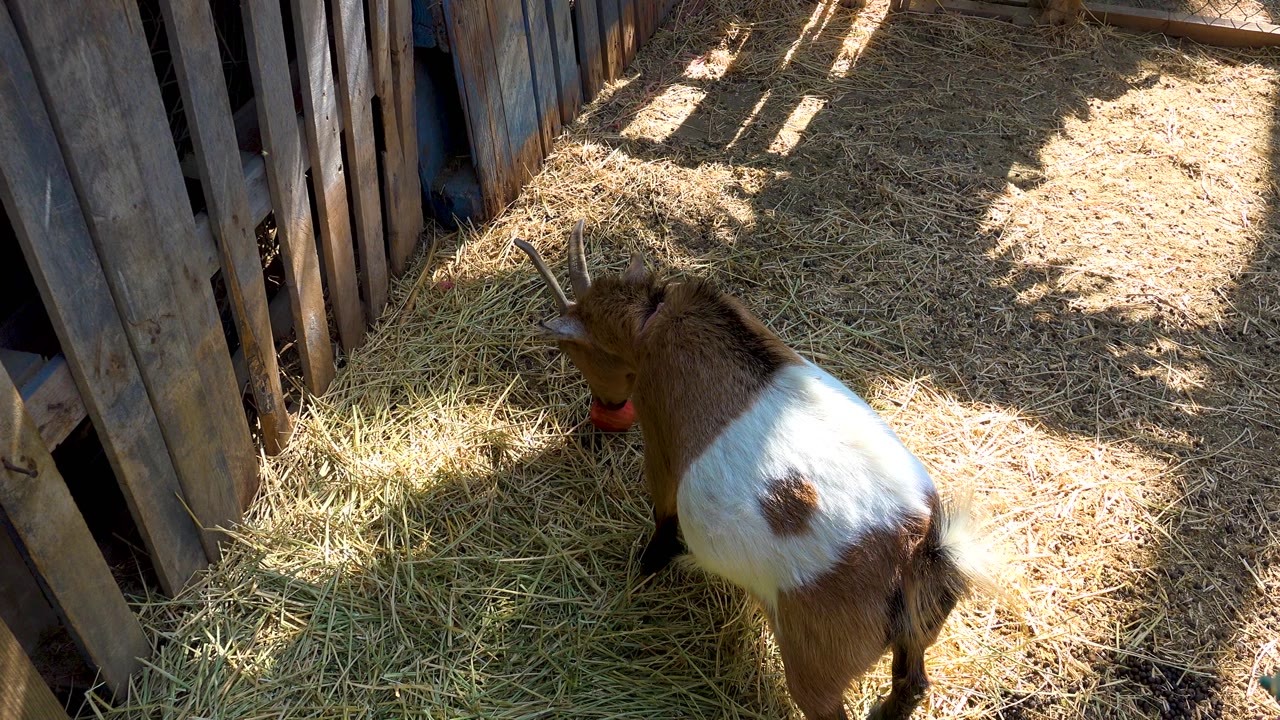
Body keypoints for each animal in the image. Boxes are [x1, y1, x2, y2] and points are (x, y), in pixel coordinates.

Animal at [514, 221, 993, 720]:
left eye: (576, 352)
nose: (605, 405)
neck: (652, 319)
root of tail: (917, 552)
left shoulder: (659, 435)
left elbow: (663, 506)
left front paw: (650, 563)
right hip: (916, 633)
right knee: (912, 683)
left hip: (815, 667)